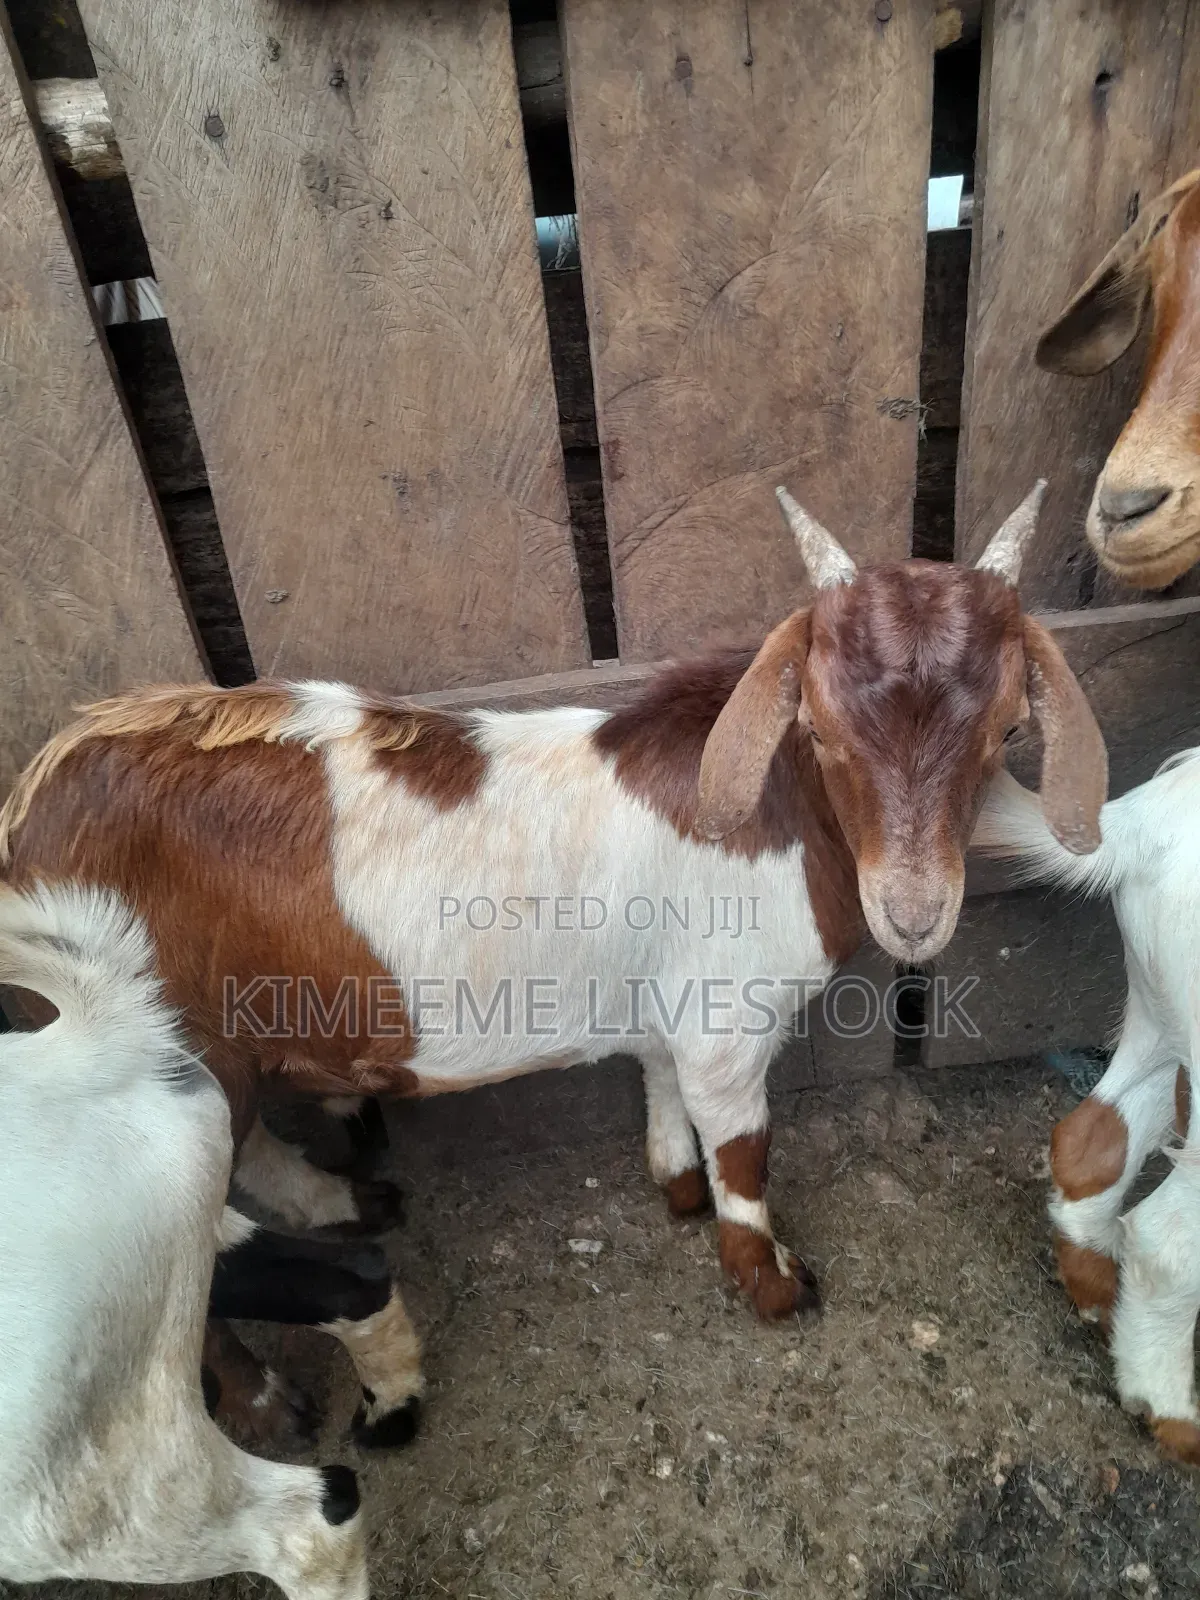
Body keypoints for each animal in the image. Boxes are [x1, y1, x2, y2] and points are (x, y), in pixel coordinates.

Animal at [0, 483, 1105, 1344]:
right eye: (825, 731)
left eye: (1007, 729)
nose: (915, 915)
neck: (771, 812)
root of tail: (33, 805)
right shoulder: (727, 1021)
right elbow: (747, 1152)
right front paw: (773, 1284)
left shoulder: (666, 1002)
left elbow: (661, 1089)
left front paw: (674, 1186)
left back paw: (351, 1199)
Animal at [973, 757, 1200, 1466]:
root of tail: (1150, 815)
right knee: (1166, 1237)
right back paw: (1172, 1413)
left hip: (1162, 1007)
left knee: (1091, 1139)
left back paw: (1100, 1299)